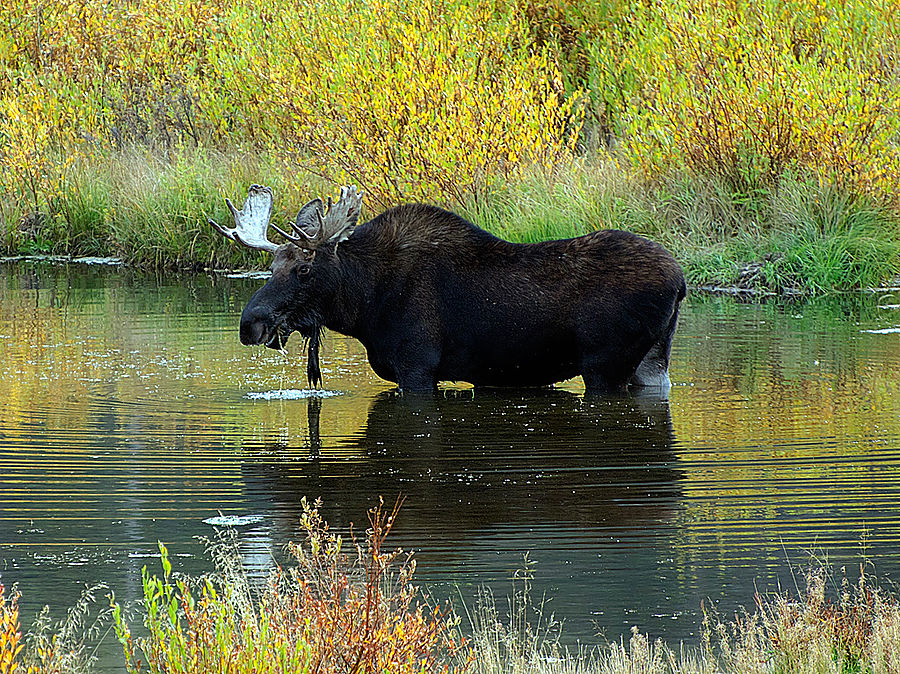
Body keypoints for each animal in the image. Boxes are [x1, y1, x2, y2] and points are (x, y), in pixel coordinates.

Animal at [211, 184, 684, 394]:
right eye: (272, 265)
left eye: (305, 269)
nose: (250, 324)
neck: (365, 304)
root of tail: (680, 281)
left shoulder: (418, 367)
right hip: (652, 361)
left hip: (605, 364)